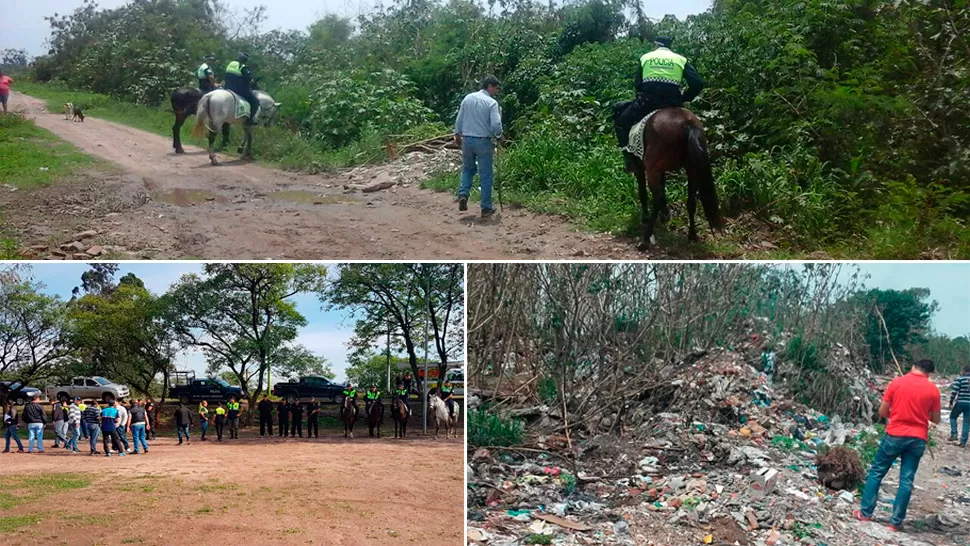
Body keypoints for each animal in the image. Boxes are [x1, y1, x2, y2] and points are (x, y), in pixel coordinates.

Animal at [612, 103, 720, 249]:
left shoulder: (642, 169)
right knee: (691, 201)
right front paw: (665, 216)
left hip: (652, 170)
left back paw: (646, 238)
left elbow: (643, 193)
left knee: (656, 199)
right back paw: (692, 235)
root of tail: (687, 124)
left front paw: (645, 218)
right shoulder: (661, 170)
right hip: (691, 169)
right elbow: (663, 190)